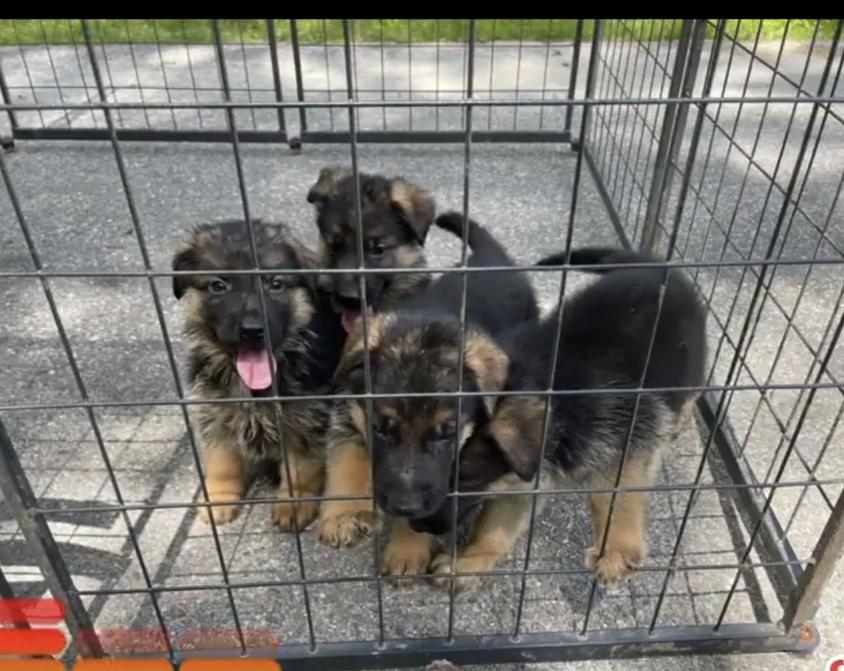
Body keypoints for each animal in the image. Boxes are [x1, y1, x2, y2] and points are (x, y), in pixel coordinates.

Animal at [171, 223, 346, 532]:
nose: (252, 331)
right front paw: (219, 498)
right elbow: (221, 459)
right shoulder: (214, 408)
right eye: (218, 286)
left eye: (275, 284)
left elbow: (300, 466)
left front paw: (295, 501)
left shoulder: (306, 417)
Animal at [316, 213, 540, 580]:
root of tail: (494, 257)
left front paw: (406, 550)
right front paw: (344, 512)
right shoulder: (350, 409)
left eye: (446, 432)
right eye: (380, 428)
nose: (403, 505)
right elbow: (345, 456)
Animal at [374, 249, 704, 592]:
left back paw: (679, 421)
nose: (417, 525)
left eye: (463, 480)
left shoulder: (629, 432)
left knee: (689, 394)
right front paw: (466, 562)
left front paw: (615, 549)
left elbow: (614, 494)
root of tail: (658, 266)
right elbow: (495, 528)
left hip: (689, 366)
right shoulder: (521, 479)